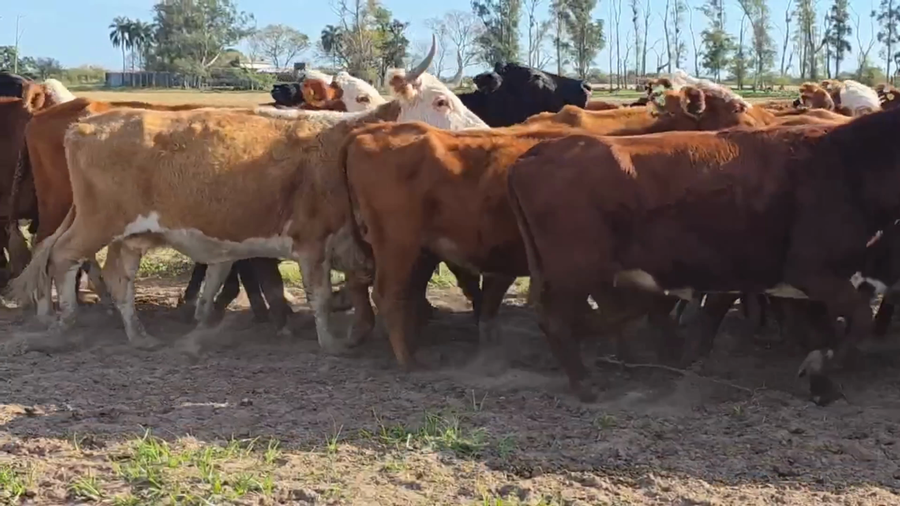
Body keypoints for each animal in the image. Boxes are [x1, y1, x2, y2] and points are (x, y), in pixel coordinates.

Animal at [6, 39, 489, 356]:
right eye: (442, 102)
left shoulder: (350, 244)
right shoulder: (311, 241)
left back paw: (139, 336)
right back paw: (66, 324)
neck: (340, 144)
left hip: (129, 235)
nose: (485, 132)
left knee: (117, 276)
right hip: (98, 222)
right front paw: (330, 342)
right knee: (62, 257)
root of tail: (82, 124)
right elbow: (314, 293)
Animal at [342, 83, 771, 370]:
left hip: (419, 250)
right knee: (388, 294)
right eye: (737, 105)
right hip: (398, 245)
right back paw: (409, 359)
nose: (770, 125)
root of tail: (371, 132)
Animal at [506, 109, 900, 406]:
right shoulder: (813, 272)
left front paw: (822, 385)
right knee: (558, 318)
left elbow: (825, 329)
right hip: (573, 271)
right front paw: (822, 369)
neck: (845, 165)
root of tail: (539, 152)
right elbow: (858, 321)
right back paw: (585, 383)